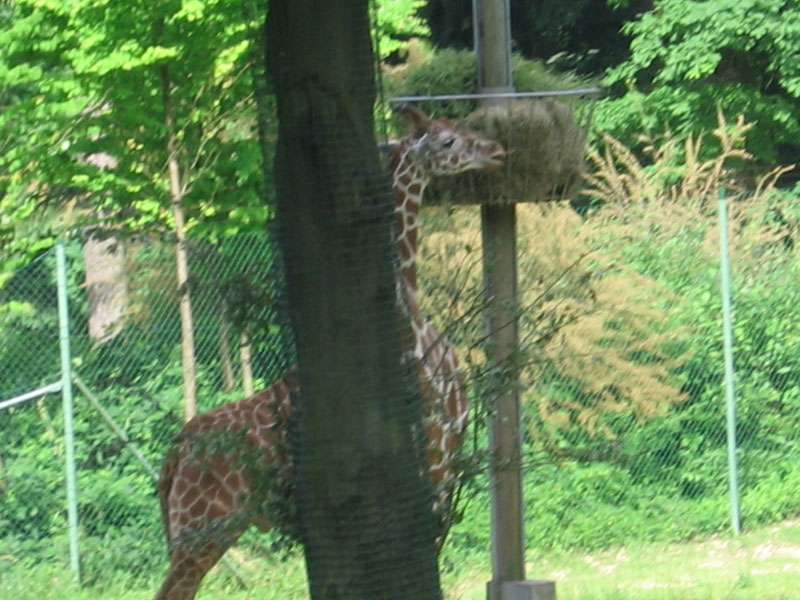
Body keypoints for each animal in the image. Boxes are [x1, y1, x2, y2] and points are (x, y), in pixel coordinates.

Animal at [152, 105, 504, 596]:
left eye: (462, 125)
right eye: (446, 139)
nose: (496, 150)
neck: (413, 324)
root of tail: (173, 457)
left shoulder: (449, 462)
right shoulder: (431, 458)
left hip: (212, 530)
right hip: (199, 529)